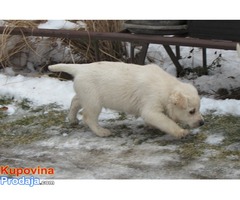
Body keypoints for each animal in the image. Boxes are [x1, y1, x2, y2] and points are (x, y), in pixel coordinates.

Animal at [48, 61, 204, 138]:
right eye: (191, 111)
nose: (202, 123)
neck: (167, 88)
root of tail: (80, 69)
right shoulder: (151, 109)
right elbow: (166, 121)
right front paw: (180, 132)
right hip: (93, 101)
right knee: (88, 118)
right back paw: (101, 132)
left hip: (85, 95)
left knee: (74, 102)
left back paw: (72, 119)